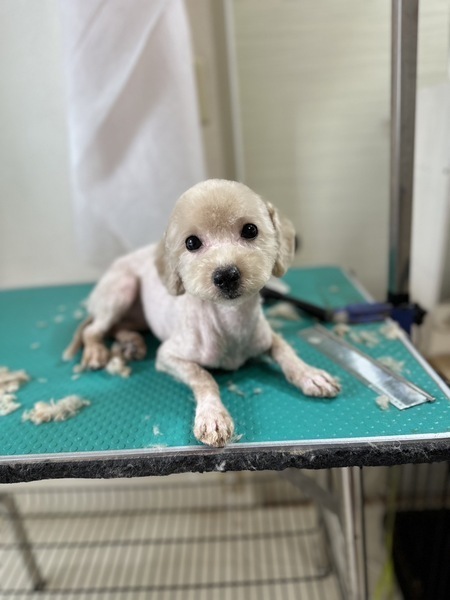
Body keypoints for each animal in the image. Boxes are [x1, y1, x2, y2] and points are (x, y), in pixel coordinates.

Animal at [65, 179, 340, 447]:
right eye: (191, 242)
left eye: (251, 230)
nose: (226, 275)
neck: (230, 322)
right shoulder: (169, 356)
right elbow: (204, 377)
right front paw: (213, 416)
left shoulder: (266, 336)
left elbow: (286, 352)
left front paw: (310, 375)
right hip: (121, 290)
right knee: (94, 329)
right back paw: (96, 351)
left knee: (117, 327)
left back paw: (132, 343)